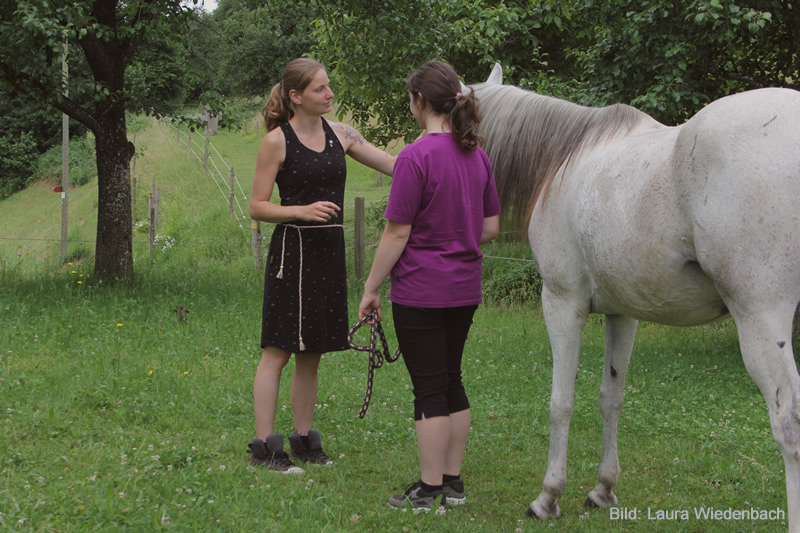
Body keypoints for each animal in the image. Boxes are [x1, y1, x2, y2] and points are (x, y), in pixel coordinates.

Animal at [468, 63, 800, 528]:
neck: (563, 160)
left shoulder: (562, 304)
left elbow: (561, 402)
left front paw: (548, 497)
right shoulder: (622, 314)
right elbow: (612, 399)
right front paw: (603, 489)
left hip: (761, 323)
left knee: (789, 427)